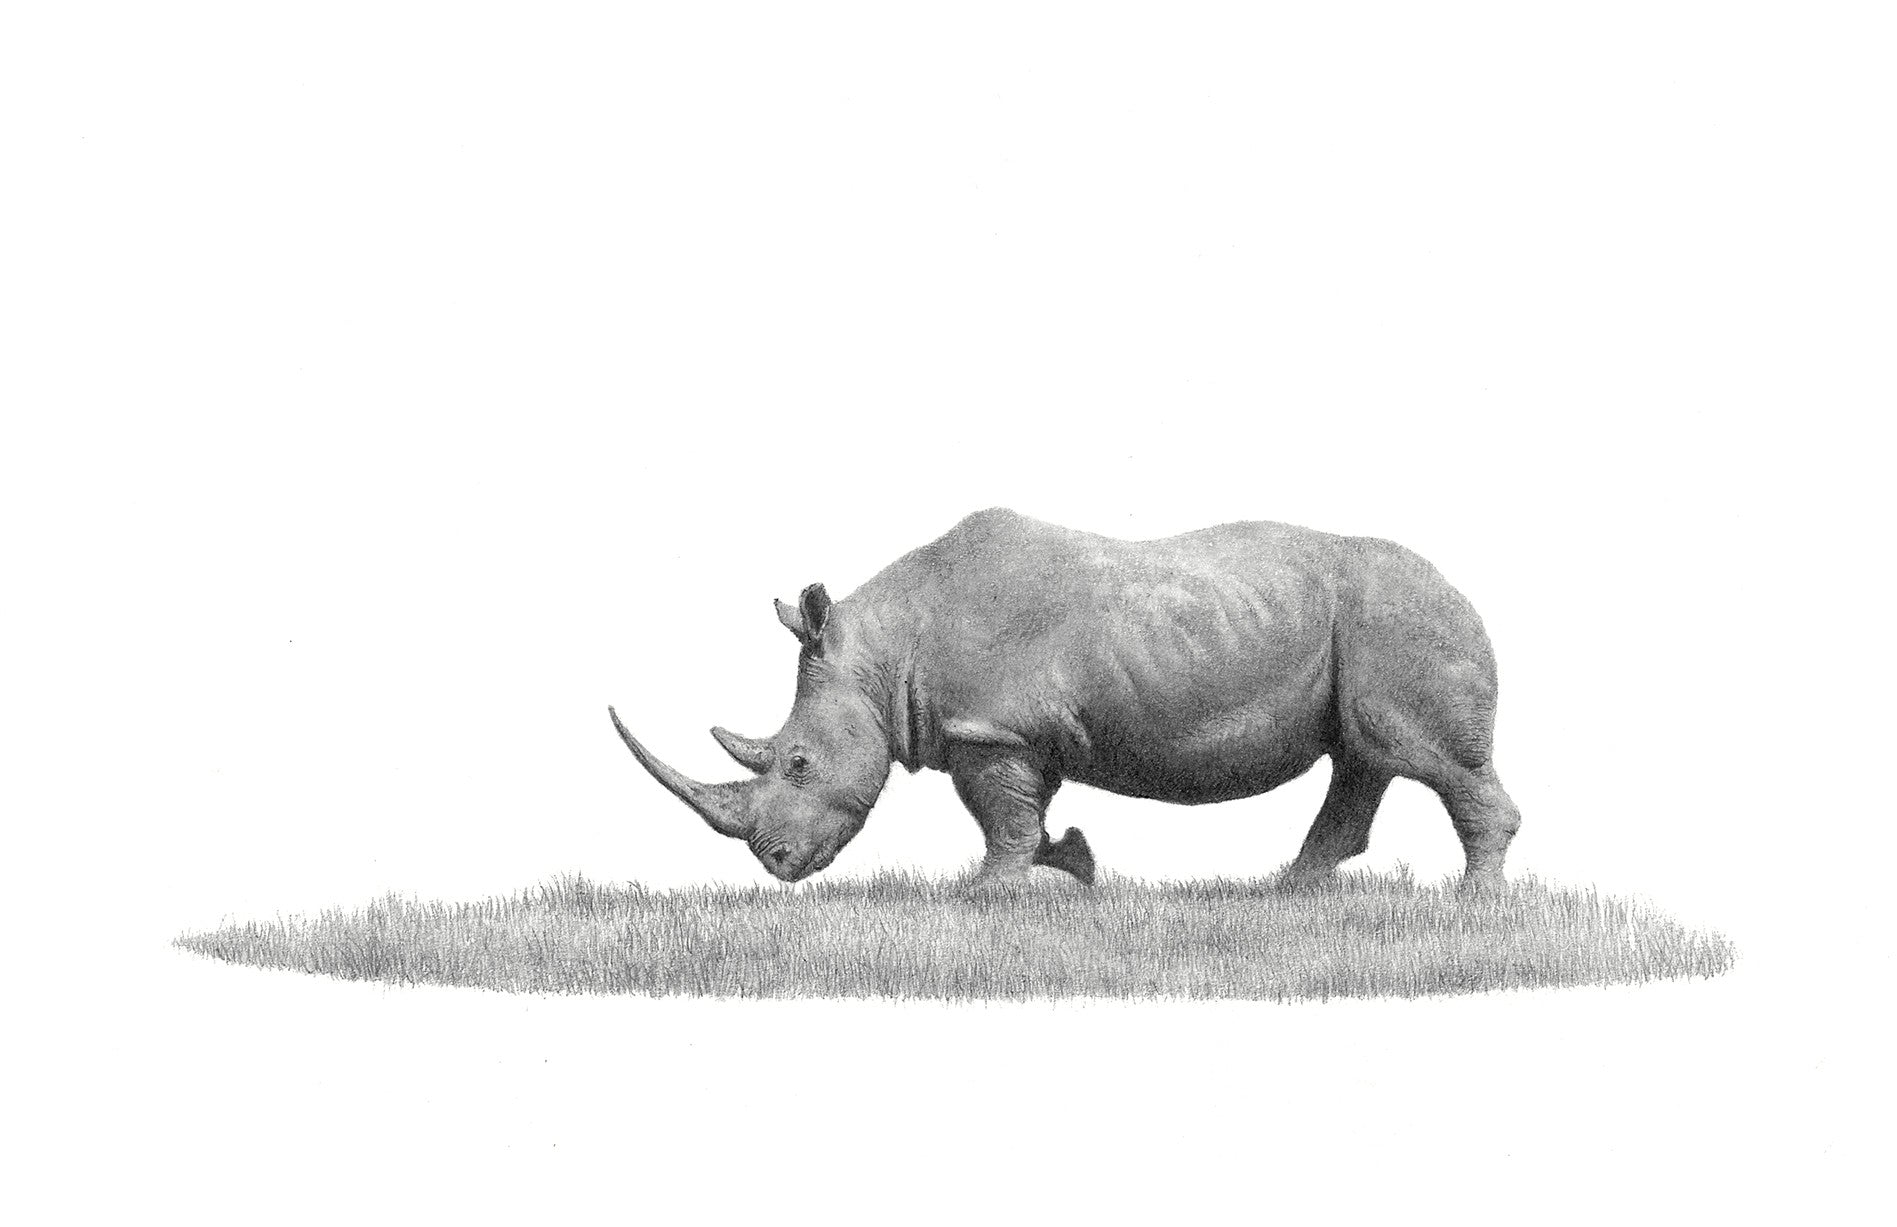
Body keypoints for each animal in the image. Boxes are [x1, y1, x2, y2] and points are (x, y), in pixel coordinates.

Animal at [610, 508, 1521, 887]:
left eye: (798, 762)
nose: (776, 866)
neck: (879, 652)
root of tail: (1463, 589)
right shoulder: (1018, 730)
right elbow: (1027, 814)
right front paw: (1073, 863)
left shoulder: (989, 729)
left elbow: (1000, 818)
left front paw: (982, 894)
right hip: (1369, 624)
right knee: (1361, 756)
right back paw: (1286, 890)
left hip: (1398, 617)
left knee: (1418, 756)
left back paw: (1472, 906)